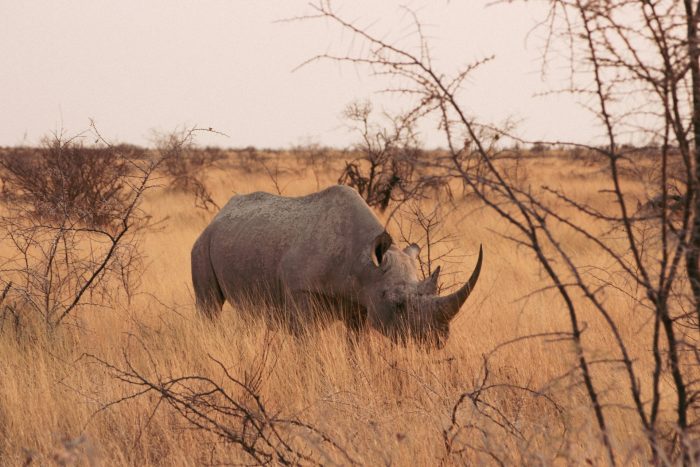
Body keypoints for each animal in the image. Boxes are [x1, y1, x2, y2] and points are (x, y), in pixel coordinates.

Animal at [191, 185, 482, 348]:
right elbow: (308, 346)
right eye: (398, 303)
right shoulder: (302, 293)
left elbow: (357, 347)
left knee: (248, 312)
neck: (366, 264)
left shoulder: (362, 302)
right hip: (202, 244)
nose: (438, 340)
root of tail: (217, 216)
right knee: (209, 306)